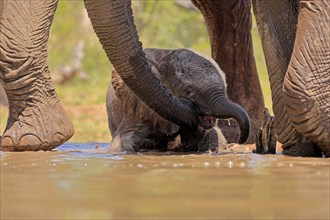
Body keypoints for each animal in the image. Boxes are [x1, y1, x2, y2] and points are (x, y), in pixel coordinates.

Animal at [106, 48, 250, 153]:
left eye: (225, 87)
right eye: (187, 91)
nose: (239, 140)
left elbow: (212, 136)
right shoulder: (140, 104)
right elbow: (123, 139)